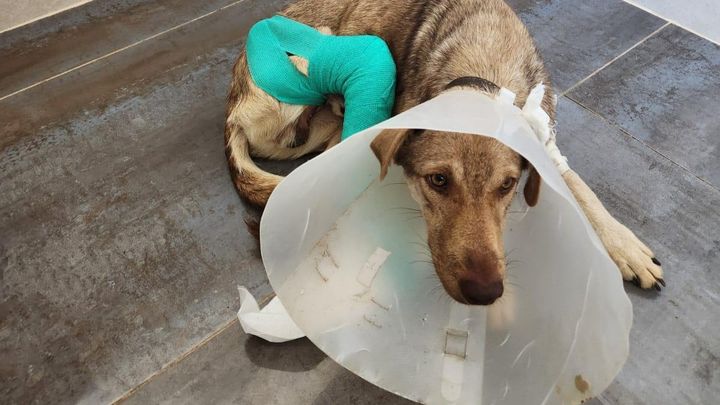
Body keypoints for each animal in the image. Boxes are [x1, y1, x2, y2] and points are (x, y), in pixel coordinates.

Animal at [224, 0, 664, 305]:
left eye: (508, 186)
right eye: (437, 181)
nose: (485, 293)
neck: (485, 73)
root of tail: (233, 110)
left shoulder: (546, 144)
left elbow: (582, 189)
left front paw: (626, 247)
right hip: (341, 60)